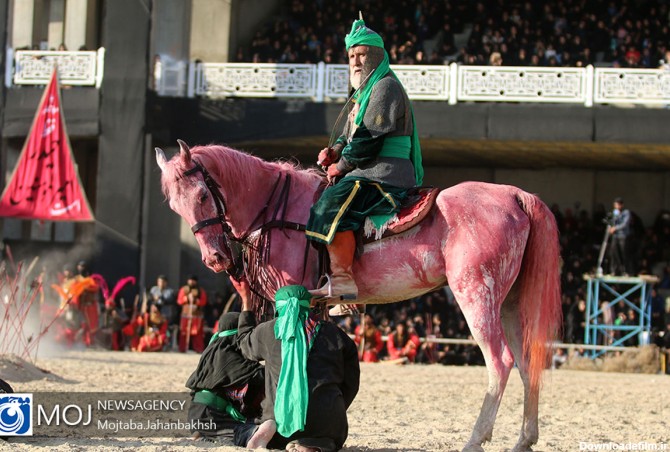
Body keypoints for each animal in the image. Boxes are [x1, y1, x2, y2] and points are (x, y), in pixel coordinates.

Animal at [156, 141, 560, 452]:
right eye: (174, 206)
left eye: (203, 195)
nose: (215, 258)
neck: (281, 213)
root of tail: (514, 194)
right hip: (509, 304)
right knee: (528, 363)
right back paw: (524, 440)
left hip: (476, 296)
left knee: (501, 363)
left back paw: (476, 439)